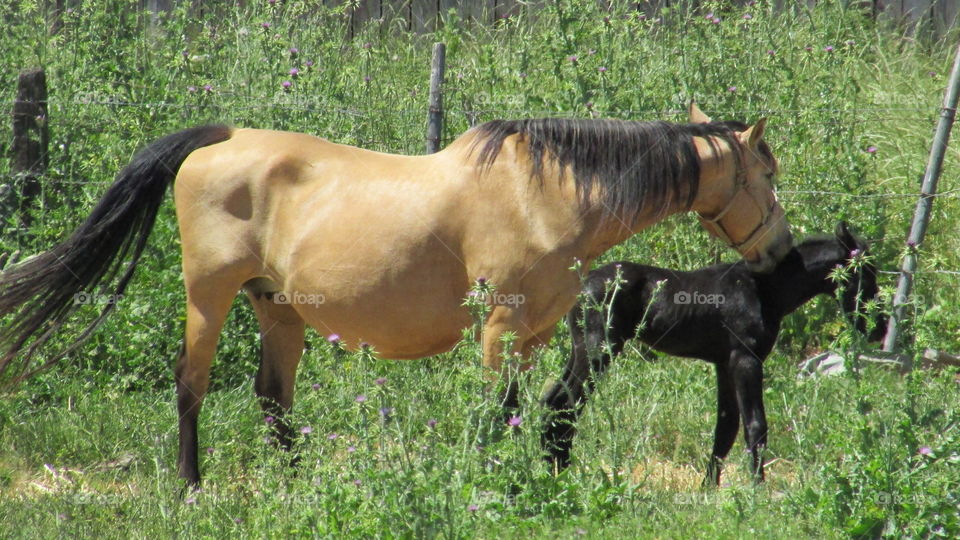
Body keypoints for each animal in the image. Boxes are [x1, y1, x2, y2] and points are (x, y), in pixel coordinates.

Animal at [0, 104, 792, 485]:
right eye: (768, 172)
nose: (779, 251)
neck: (544, 192)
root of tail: (220, 138)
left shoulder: (539, 333)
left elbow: (537, 410)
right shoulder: (499, 329)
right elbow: (496, 412)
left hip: (275, 307)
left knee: (273, 399)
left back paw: (295, 485)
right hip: (210, 298)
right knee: (190, 386)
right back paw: (191, 486)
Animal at [541, 221, 883, 485]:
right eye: (865, 273)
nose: (877, 329)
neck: (767, 291)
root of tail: (580, 288)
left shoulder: (724, 363)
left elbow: (725, 428)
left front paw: (709, 488)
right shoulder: (746, 359)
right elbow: (755, 426)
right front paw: (757, 491)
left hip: (582, 350)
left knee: (551, 400)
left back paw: (555, 471)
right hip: (599, 351)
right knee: (564, 404)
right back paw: (559, 472)